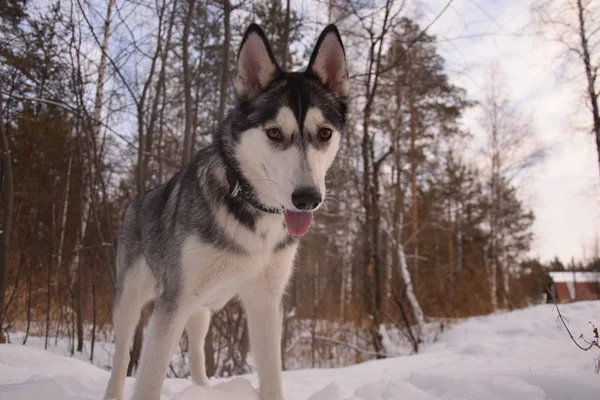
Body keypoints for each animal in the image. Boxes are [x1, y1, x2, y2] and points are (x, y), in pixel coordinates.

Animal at [102, 22, 346, 400]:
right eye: (274, 132)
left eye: (324, 133)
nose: (307, 198)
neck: (254, 212)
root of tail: (138, 200)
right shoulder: (173, 302)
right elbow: (148, 380)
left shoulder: (265, 301)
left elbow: (272, 377)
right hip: (131, 299)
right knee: (122, 355)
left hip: (201, 307)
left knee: (197, 352)